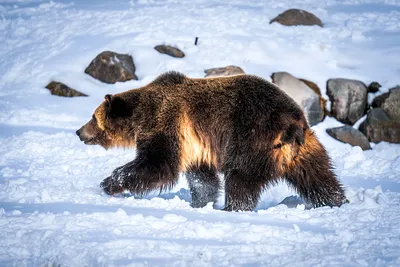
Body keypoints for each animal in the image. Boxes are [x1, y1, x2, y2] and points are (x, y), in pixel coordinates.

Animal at [76, 71, 346, 211]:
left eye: (93, 116)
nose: (79, 131)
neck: (140, 115)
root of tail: (292, 124)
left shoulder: (166, 122)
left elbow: (158, 164)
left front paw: (109, 182)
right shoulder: (196, 146)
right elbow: (202, 178)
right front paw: (200, 202)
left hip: (250, 141)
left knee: (240, 180)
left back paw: (233, 207)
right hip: (306, 148)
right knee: (319, 177)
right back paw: (335, 201)